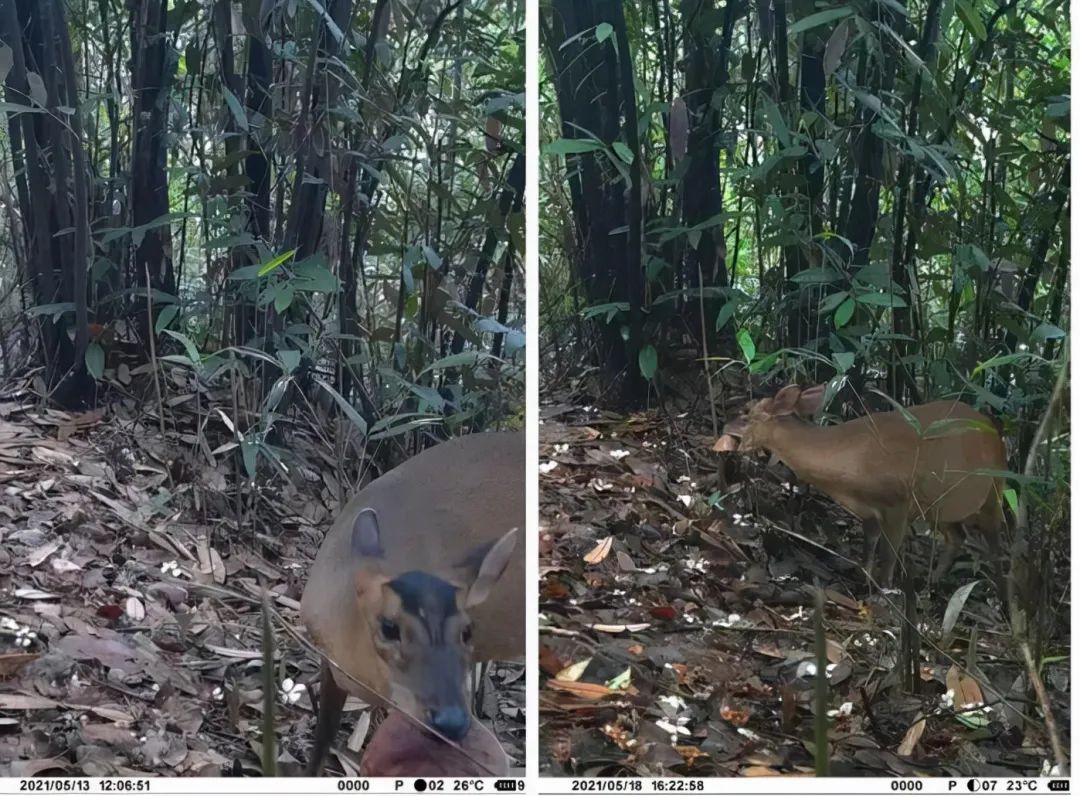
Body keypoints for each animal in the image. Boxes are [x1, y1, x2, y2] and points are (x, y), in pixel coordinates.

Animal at [721, 384, 1006, 583]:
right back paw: (934, 580)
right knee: (957, 536)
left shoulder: (899, 501)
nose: (724, 427)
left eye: (746, 412)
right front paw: (866, 580)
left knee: (995, 543)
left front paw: (884, 590)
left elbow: (888, 554)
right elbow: (869, 547)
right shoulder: (869, 508)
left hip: (994, 491)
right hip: (942, 506)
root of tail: (996, 434)